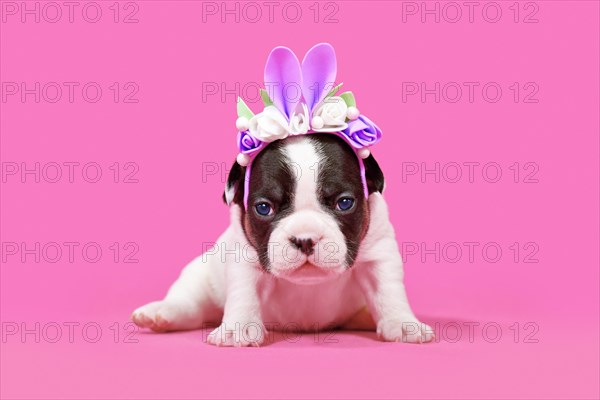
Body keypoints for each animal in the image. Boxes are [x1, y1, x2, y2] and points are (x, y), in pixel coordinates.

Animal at [131, 133, 434, 346]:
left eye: (345, 203)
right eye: (264, 208)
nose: (305, 239)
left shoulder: (379, 253)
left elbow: (388, 290)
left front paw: (403, 324)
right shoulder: (244, 259)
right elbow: (244, 292)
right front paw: (237, 328)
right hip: (200, 277)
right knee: (189, 303)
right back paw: (161, 313)